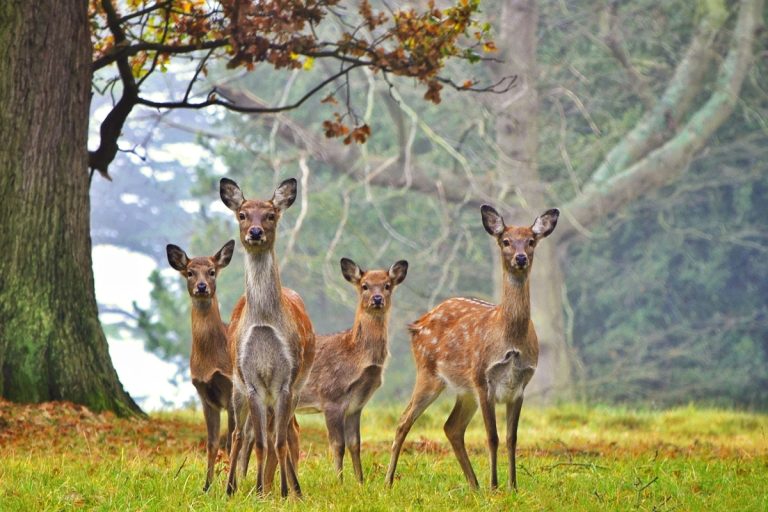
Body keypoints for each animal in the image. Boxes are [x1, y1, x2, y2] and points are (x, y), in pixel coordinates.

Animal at [166, 240, 236, 492]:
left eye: (212, 271)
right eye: (190, 272)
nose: (202, 286)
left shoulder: (232, 389)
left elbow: (232, 441)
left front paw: (230, 487)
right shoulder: (205, 395)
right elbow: (212, 443)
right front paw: (207, 486)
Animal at [219, 177, 315, 498]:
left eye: (271, 215)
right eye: (242, 214)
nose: (255, 231)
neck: (263, 322)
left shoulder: (286, 379)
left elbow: (279, 440)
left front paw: (284, 492)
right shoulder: (250, 380)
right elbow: (260, 441)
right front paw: (260, 490)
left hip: (297, 387)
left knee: (287, 431)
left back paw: (294, 487)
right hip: (236, 385)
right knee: (240, 433)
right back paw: (230, 487)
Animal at [294, 257, 408, 483]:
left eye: (387, 285)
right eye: (364, 285)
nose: (377, 299)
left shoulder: (356, 405)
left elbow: (355, 444)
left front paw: (360, 482)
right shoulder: (331, 396)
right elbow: (338, 445)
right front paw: (339, 481)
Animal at [385, 205, 560, 490]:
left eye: (531, 241)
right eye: (506, 241)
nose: (521, 258)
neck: (510, 340)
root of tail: (417, 324)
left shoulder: (520, 385)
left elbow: (512, 438)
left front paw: (512, 486)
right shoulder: (483, 378)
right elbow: (493, 437)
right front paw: (495, 486)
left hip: (464, 390)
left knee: (451, 427)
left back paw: (473, 484)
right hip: (429, 372)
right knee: (404, 420)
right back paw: (388, 481)